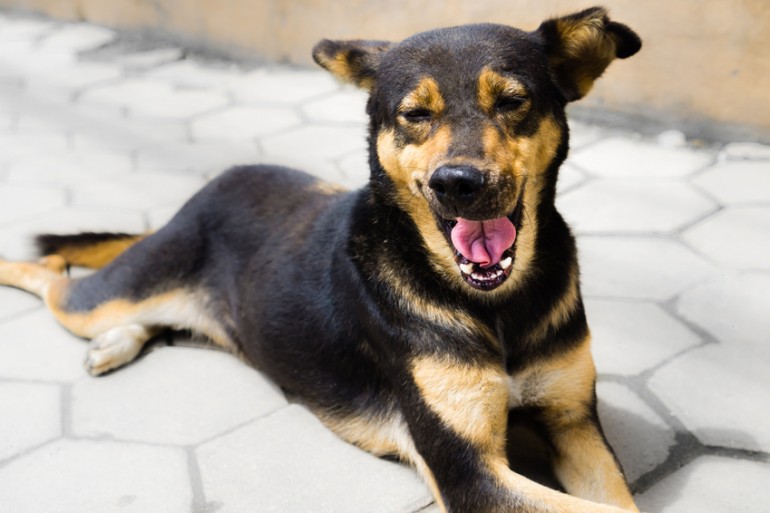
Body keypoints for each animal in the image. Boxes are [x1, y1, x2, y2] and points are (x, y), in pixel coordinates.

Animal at [1, 7, 640, 512]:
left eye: (512, 101)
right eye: (415, 114)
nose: (459, 184)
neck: (498, 305)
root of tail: (205, 191)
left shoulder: (573, 423)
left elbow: (618, 501)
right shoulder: (469, 470)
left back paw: (119, 342)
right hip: (110, 293)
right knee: (54, 276)